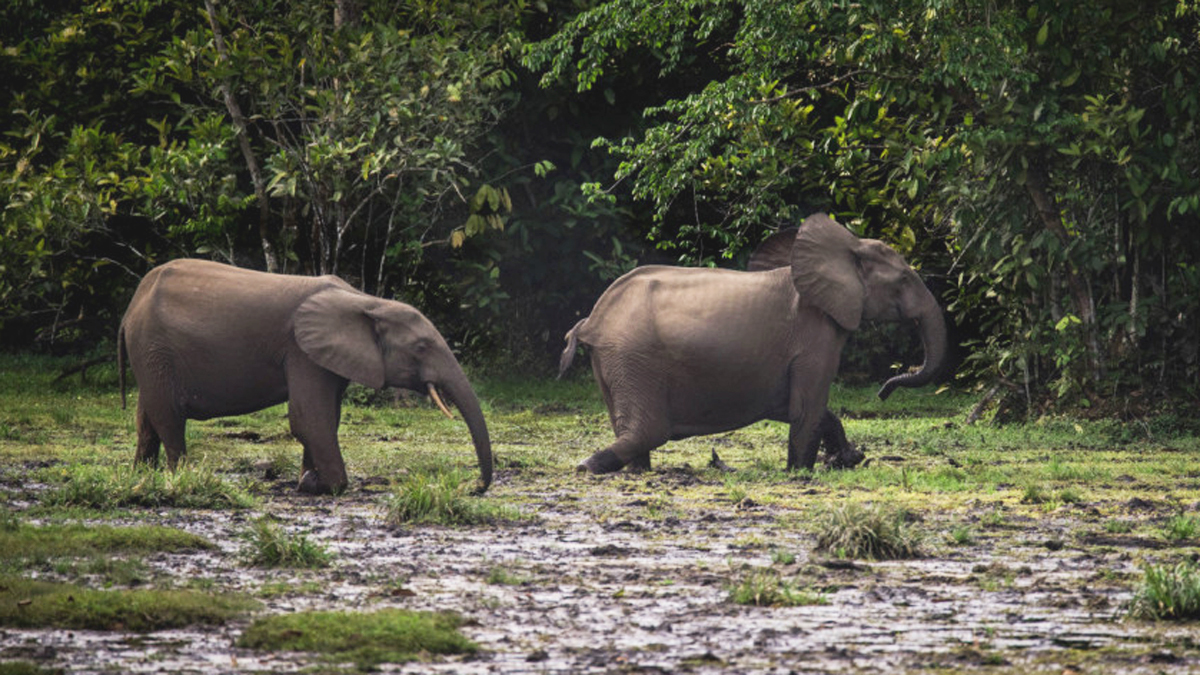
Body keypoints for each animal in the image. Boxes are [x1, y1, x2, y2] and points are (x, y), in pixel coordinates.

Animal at [117, 259, 492, 495]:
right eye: (421, 347)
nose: (474, 488)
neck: (367, 301)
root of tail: (131, 306)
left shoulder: (325, 357)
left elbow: (326, 418)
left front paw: (308, 482)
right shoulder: (300, 350)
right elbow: (309, 419)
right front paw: (322, 485)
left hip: (151, 355)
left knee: (146, 418)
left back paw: (141, 477)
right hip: (154, 348)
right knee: (169, 417)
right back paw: (181, 478)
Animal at [558, 213, 947, 474]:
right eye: (904, 279)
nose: (883, 391)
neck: (846, 247)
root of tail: (592, 320)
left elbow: (801, 409)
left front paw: (846, 459)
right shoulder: (815, 334)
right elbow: (806, 408)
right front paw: (800, 473)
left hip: (614, 360)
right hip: (634, 357)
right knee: (649, 430)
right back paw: (586, 465)